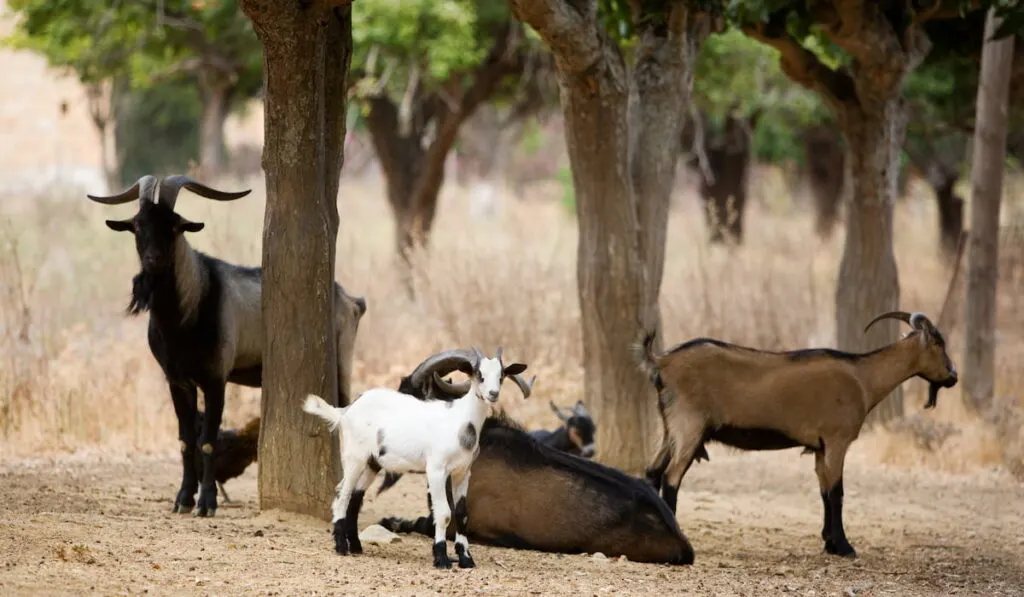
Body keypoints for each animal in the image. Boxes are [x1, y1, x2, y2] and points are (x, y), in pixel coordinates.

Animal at [87, 174, 368, 518]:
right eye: (138, 225)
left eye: (174, 225)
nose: (152, 262)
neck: (190, 307)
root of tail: (352, 301)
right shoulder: (177, 380)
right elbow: (186, 439)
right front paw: (183, 499)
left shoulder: (215, 377)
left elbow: (208, 440)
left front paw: (206, 504)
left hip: (342, 363)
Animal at [301, 346, 528, 569]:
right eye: (480, 374)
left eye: (501, 376)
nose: (493, 394)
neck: (461, 422)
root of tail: (346, 410)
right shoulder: (436, 471)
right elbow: (444, 513)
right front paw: (442, 559)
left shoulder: (463, 473)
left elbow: (462, 514)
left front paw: (466, 559)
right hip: (355, 456)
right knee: (343, 493)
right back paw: (341, 547)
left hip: (373, 462)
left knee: (356, 496)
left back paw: (356, 546)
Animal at [638, 311, 958, 557]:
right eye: (939, 343)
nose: (953, 376)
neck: (863, 377)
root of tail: (662, 362)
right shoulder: (837, 440)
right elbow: (837, 492)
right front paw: (844, 547)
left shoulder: (819, 447)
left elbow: (824, 491)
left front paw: (830, 543)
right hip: (689, 425)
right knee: (672, 477)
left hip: (671, 428)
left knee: (653, 472)